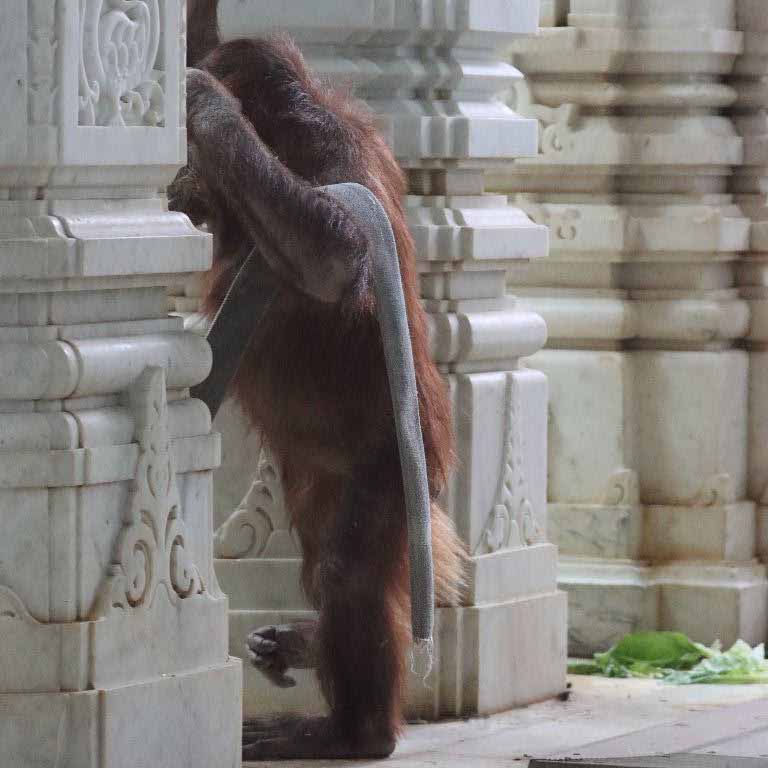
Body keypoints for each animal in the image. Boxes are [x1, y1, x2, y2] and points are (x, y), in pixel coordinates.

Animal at [171, 2, 464, 760]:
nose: (177, 182)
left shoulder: (332, 158)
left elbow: (339, 251)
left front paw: (206, 104)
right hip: (316, 482)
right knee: (323, 566)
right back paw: (303, 645)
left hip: (391, 469)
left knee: (348, 573)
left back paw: (352, 733)